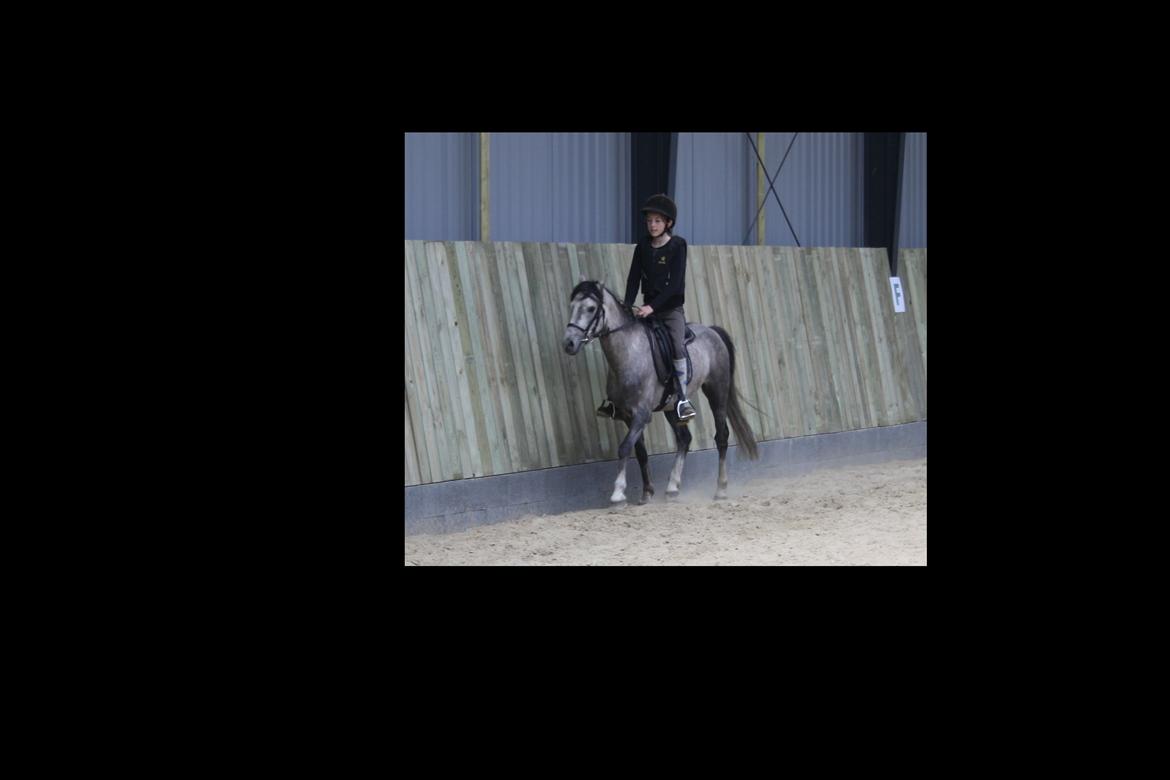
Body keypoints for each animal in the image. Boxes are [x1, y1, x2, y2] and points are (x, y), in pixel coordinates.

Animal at [562, 277, 759, 505]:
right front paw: (647, 492)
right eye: (572, 306)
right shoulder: (628, 416)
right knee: (684, 439)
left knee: (721, 437)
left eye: (591, 308)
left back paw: (720, 489)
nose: (568, 343)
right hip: (672, 407)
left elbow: (624, 447)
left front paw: (618, 494)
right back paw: (672, 488)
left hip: (717, 391)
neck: (628, 354)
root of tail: (711, 330)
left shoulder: (641, 414)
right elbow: (639, 452)